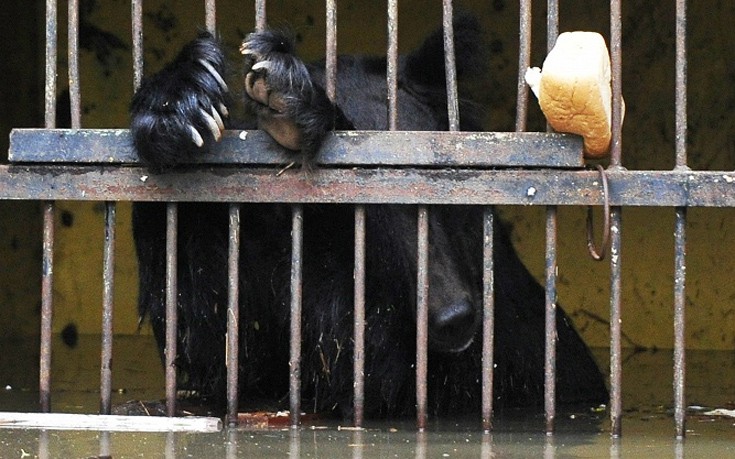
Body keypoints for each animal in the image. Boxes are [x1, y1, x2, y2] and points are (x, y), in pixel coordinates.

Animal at [129, 16, 608, 418]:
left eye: (442, 183)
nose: (454, 318)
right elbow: (209, 326)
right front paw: (183, 104)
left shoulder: (500, 333)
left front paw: (287, 94)